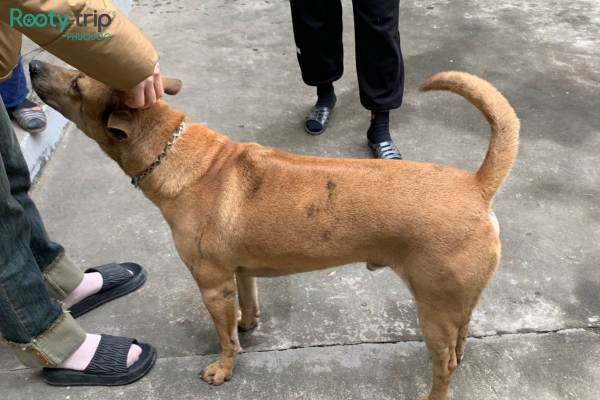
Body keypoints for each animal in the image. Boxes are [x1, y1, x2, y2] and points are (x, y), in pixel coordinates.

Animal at [30, 60, 516, 400]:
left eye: (78, 84)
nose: (31, 66)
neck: (180, 156)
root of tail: (476, 185)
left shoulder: (212, 285)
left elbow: (224, 339)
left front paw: (224, 368)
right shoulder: (240, 274)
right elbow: (246, 305)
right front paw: (248, 323)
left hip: (433, 308)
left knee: (443, 366)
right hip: (454, 302)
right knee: (460, 338)